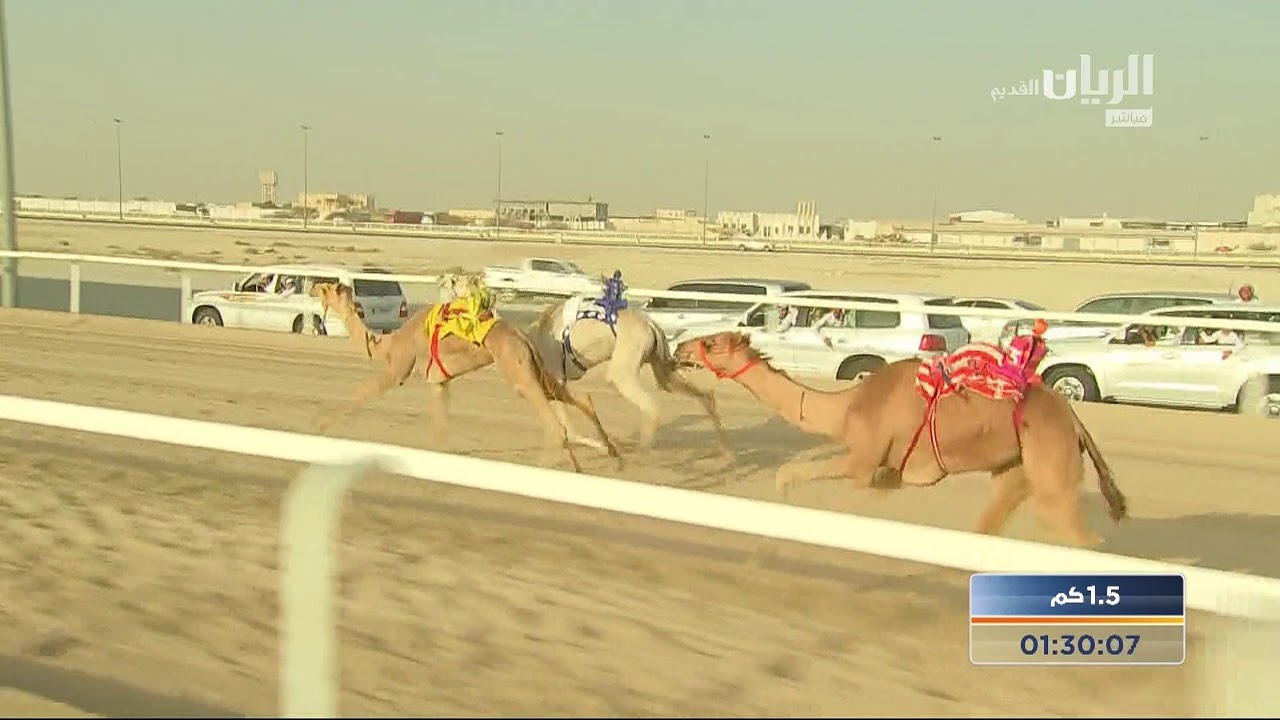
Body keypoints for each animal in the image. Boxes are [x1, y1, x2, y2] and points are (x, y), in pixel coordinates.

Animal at [309, 281, 620, 473]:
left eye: (326, 288)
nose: (312, 287)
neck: (389, 342)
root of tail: (521, 336)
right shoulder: (439, 382)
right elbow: (440, 427)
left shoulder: (399, 367)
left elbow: (362, 391)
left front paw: (321, 428)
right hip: (536, 367)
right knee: (579, 398)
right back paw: (608, 457)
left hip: (516, 368)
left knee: (554, 424)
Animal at [526, 296, 730, 455]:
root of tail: (650, 324)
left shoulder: (555, 379)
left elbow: (569, 431)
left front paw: (608, 448)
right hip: (660, 367)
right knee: (703, 395)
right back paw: (724, 448)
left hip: (623, 368)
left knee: (650, 406)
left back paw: (643, 451)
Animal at [674, 331, 1128, 547]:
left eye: (712, 342)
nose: (680, 348)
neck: (847, 408)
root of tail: (1073, 419)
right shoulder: (887, 478)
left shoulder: (863, 461)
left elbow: (792, 474)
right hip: (1014, 468)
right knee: (992, 521)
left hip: (1051, 463)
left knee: (1076, 531)